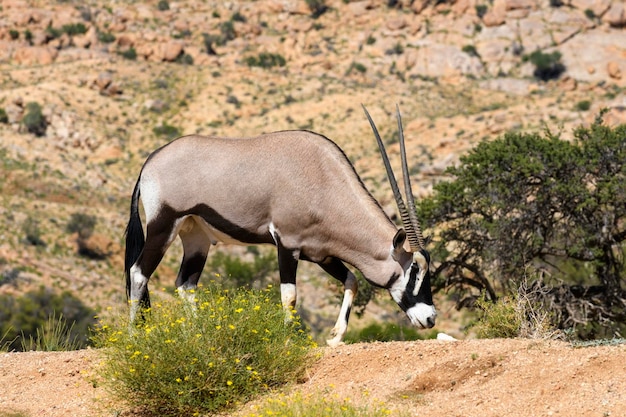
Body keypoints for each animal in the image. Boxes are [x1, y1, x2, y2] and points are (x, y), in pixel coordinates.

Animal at [122, 105, 434, 346]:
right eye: (413, 272)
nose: (430, 318)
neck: (324, 179)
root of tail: (150, 161)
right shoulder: (287, 243)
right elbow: (289, 294)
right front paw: (289, 339)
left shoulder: (320, 253)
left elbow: (352, 280)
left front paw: (335, 337)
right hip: (164, 226)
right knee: (138, 272)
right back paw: (135, 337)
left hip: (196, 237)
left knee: (186, 283)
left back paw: (198, 335)